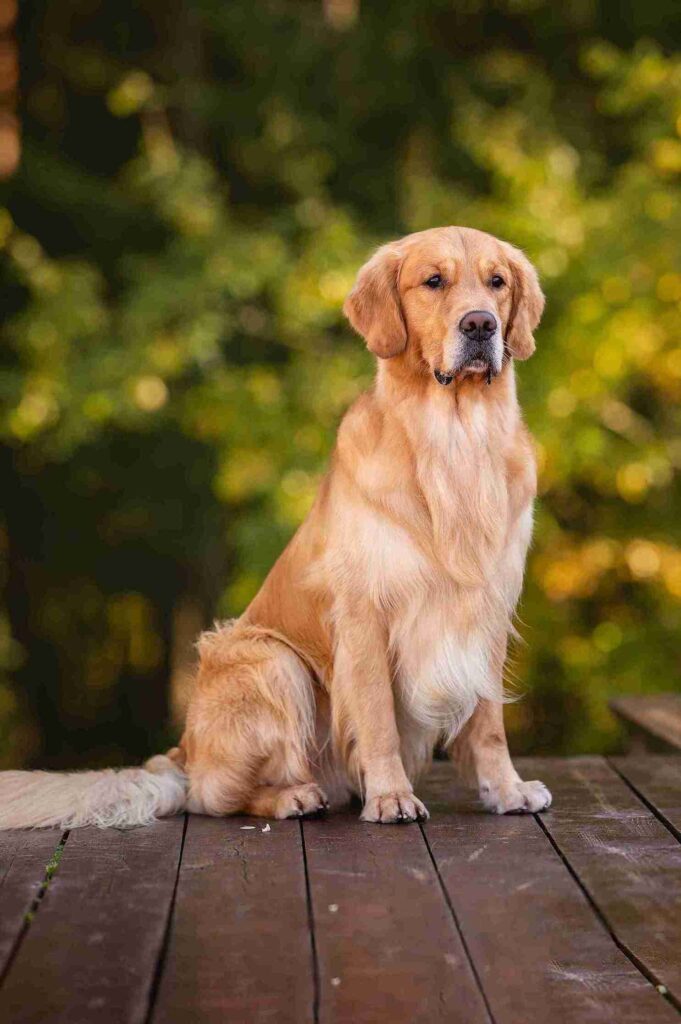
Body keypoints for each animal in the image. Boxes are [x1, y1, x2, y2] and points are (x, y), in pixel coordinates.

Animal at [0, 228, 548, 827]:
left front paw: (507, 789)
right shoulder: (364, 612)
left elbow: (489, 724)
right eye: (433, 281)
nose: (480, 325)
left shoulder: (487, 608)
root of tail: (183, 751)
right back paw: (295, 796)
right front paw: (391, 796)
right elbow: (377, 716)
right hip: (270, 659)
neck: (455, 441)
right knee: (213, 796)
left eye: (497, 282)